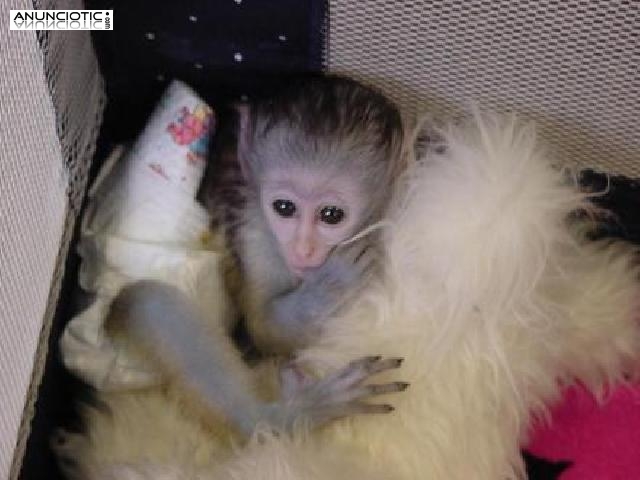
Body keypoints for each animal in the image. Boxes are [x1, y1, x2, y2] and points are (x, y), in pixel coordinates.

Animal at [107, 74, 408, 439]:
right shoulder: (256, 231)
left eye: (331, 215)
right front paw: (330, 286)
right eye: (284, 208)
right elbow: (263, 328)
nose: (303, 249)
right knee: (146, 301)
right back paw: (283, 417)